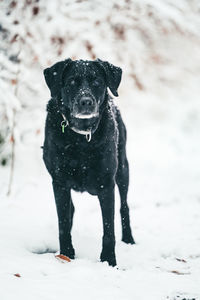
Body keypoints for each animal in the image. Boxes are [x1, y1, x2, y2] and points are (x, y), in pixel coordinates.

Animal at [43, 57, 135, 266]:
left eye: (97, 82)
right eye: (71, 82)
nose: (86, 102)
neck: (81, 138)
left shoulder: (107, 185)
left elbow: (109, 229)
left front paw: (109, 260)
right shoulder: (59, 183)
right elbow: (63, 223)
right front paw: (67, 254)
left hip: (123, 170)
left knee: (124, 206)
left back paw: (128, 238)